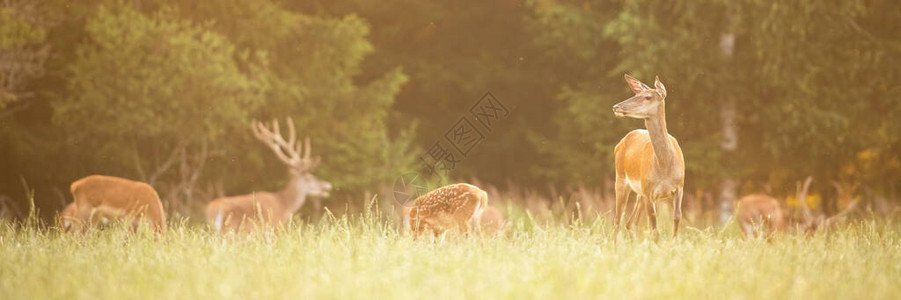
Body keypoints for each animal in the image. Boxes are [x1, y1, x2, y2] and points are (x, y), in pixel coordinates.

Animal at [608, 74, 684, 244]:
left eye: (648, 97)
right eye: (635, 94)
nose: (616, 107)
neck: (664, 167)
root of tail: (620, 142)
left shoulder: (680, 187)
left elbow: (677, 218)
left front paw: (674, 244)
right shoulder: (649, 191)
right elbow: (654, 227)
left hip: (640, 193)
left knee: (630, 222)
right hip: (621, 179)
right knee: (617, 220)